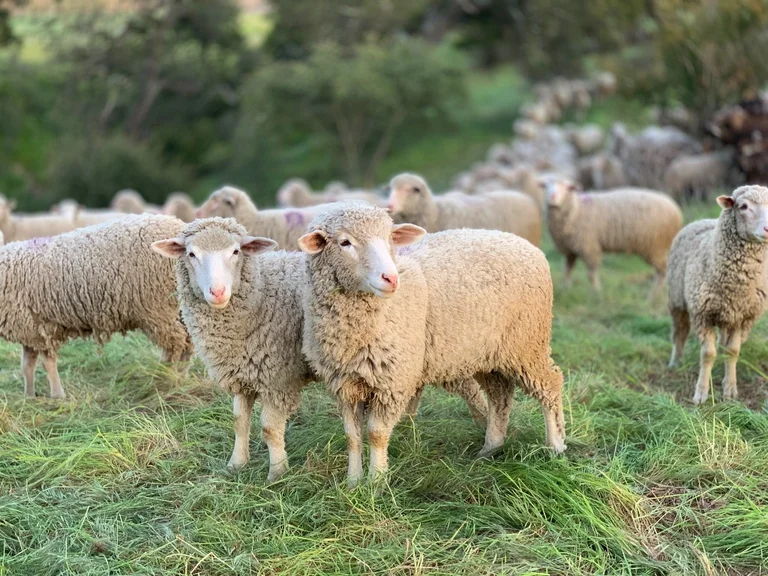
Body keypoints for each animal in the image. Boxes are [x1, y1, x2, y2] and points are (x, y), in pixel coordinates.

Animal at [0, 214, 194, 399]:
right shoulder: (29, 328)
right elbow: (27, 365)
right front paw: (29, 397)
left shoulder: (41, 328)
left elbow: (47, 363)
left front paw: (57, 396)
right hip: (178, 308)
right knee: (188, 342)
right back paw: (179, 377)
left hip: (159, 309)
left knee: (175, 345)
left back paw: (165, 378)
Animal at [152, 217, 314, 482]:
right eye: (191, 254)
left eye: (236, 251)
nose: (217, 292)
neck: (263, 292)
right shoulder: (241, 372)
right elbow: (239, 421)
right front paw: (236, 464)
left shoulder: (278, 379)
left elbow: (269, 428)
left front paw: (277, 473)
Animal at [299, 202, 565, 484]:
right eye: (345, 242)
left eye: (390, 238)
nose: (391, 278)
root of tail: (526, 245)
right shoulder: (344, 384)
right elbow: (352, 437)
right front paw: (352, 483)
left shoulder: (393, 381)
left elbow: (376, 434)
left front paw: (376, 483)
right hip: (488, 352)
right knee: (500, 395)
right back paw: (491, 447)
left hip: (527, 343)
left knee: (550, 384)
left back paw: (555, 446)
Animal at [543, 178, 683, 293]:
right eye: (546, 186)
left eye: (567, 187)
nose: (552, 196)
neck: (576, 210)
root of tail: (676, 210)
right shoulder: (570, 250)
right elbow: (567, 270)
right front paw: (565, 289)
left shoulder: (589, 246)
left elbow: (591, 273)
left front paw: (596, 292)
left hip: (655, 246)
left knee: (663, 271)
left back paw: (653, 296)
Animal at [667, 186, 768, 403]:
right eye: (743, 206)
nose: (767, 229)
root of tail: (702, 219)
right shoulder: (702, 314)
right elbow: (708, 354)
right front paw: (701, 393)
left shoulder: (742, 316)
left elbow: (732, 351)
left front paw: (730, 388)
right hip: (676, 300)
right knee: (679, 333)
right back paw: (675, 362)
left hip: (726, 315)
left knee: (722, 342)